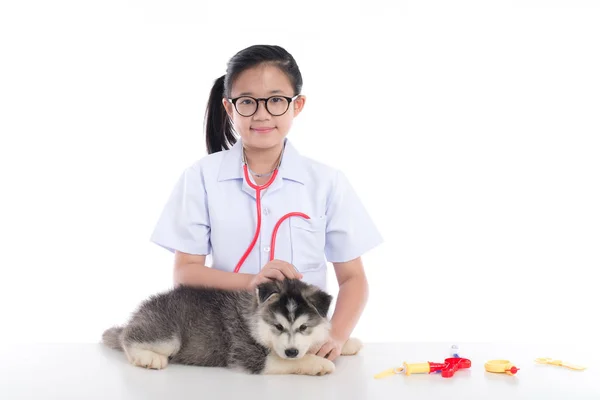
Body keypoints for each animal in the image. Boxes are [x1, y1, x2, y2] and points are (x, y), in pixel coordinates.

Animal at [102, 278, 360, 376]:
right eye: (277, 326)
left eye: (304, 327)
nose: (291, 351)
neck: (254, 320)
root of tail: (140, 311)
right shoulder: (249, 355)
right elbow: (288, 362)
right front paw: (319, 363)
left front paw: (344, 342)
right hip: (168, 337)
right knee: (128, 337)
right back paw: (148, 358)